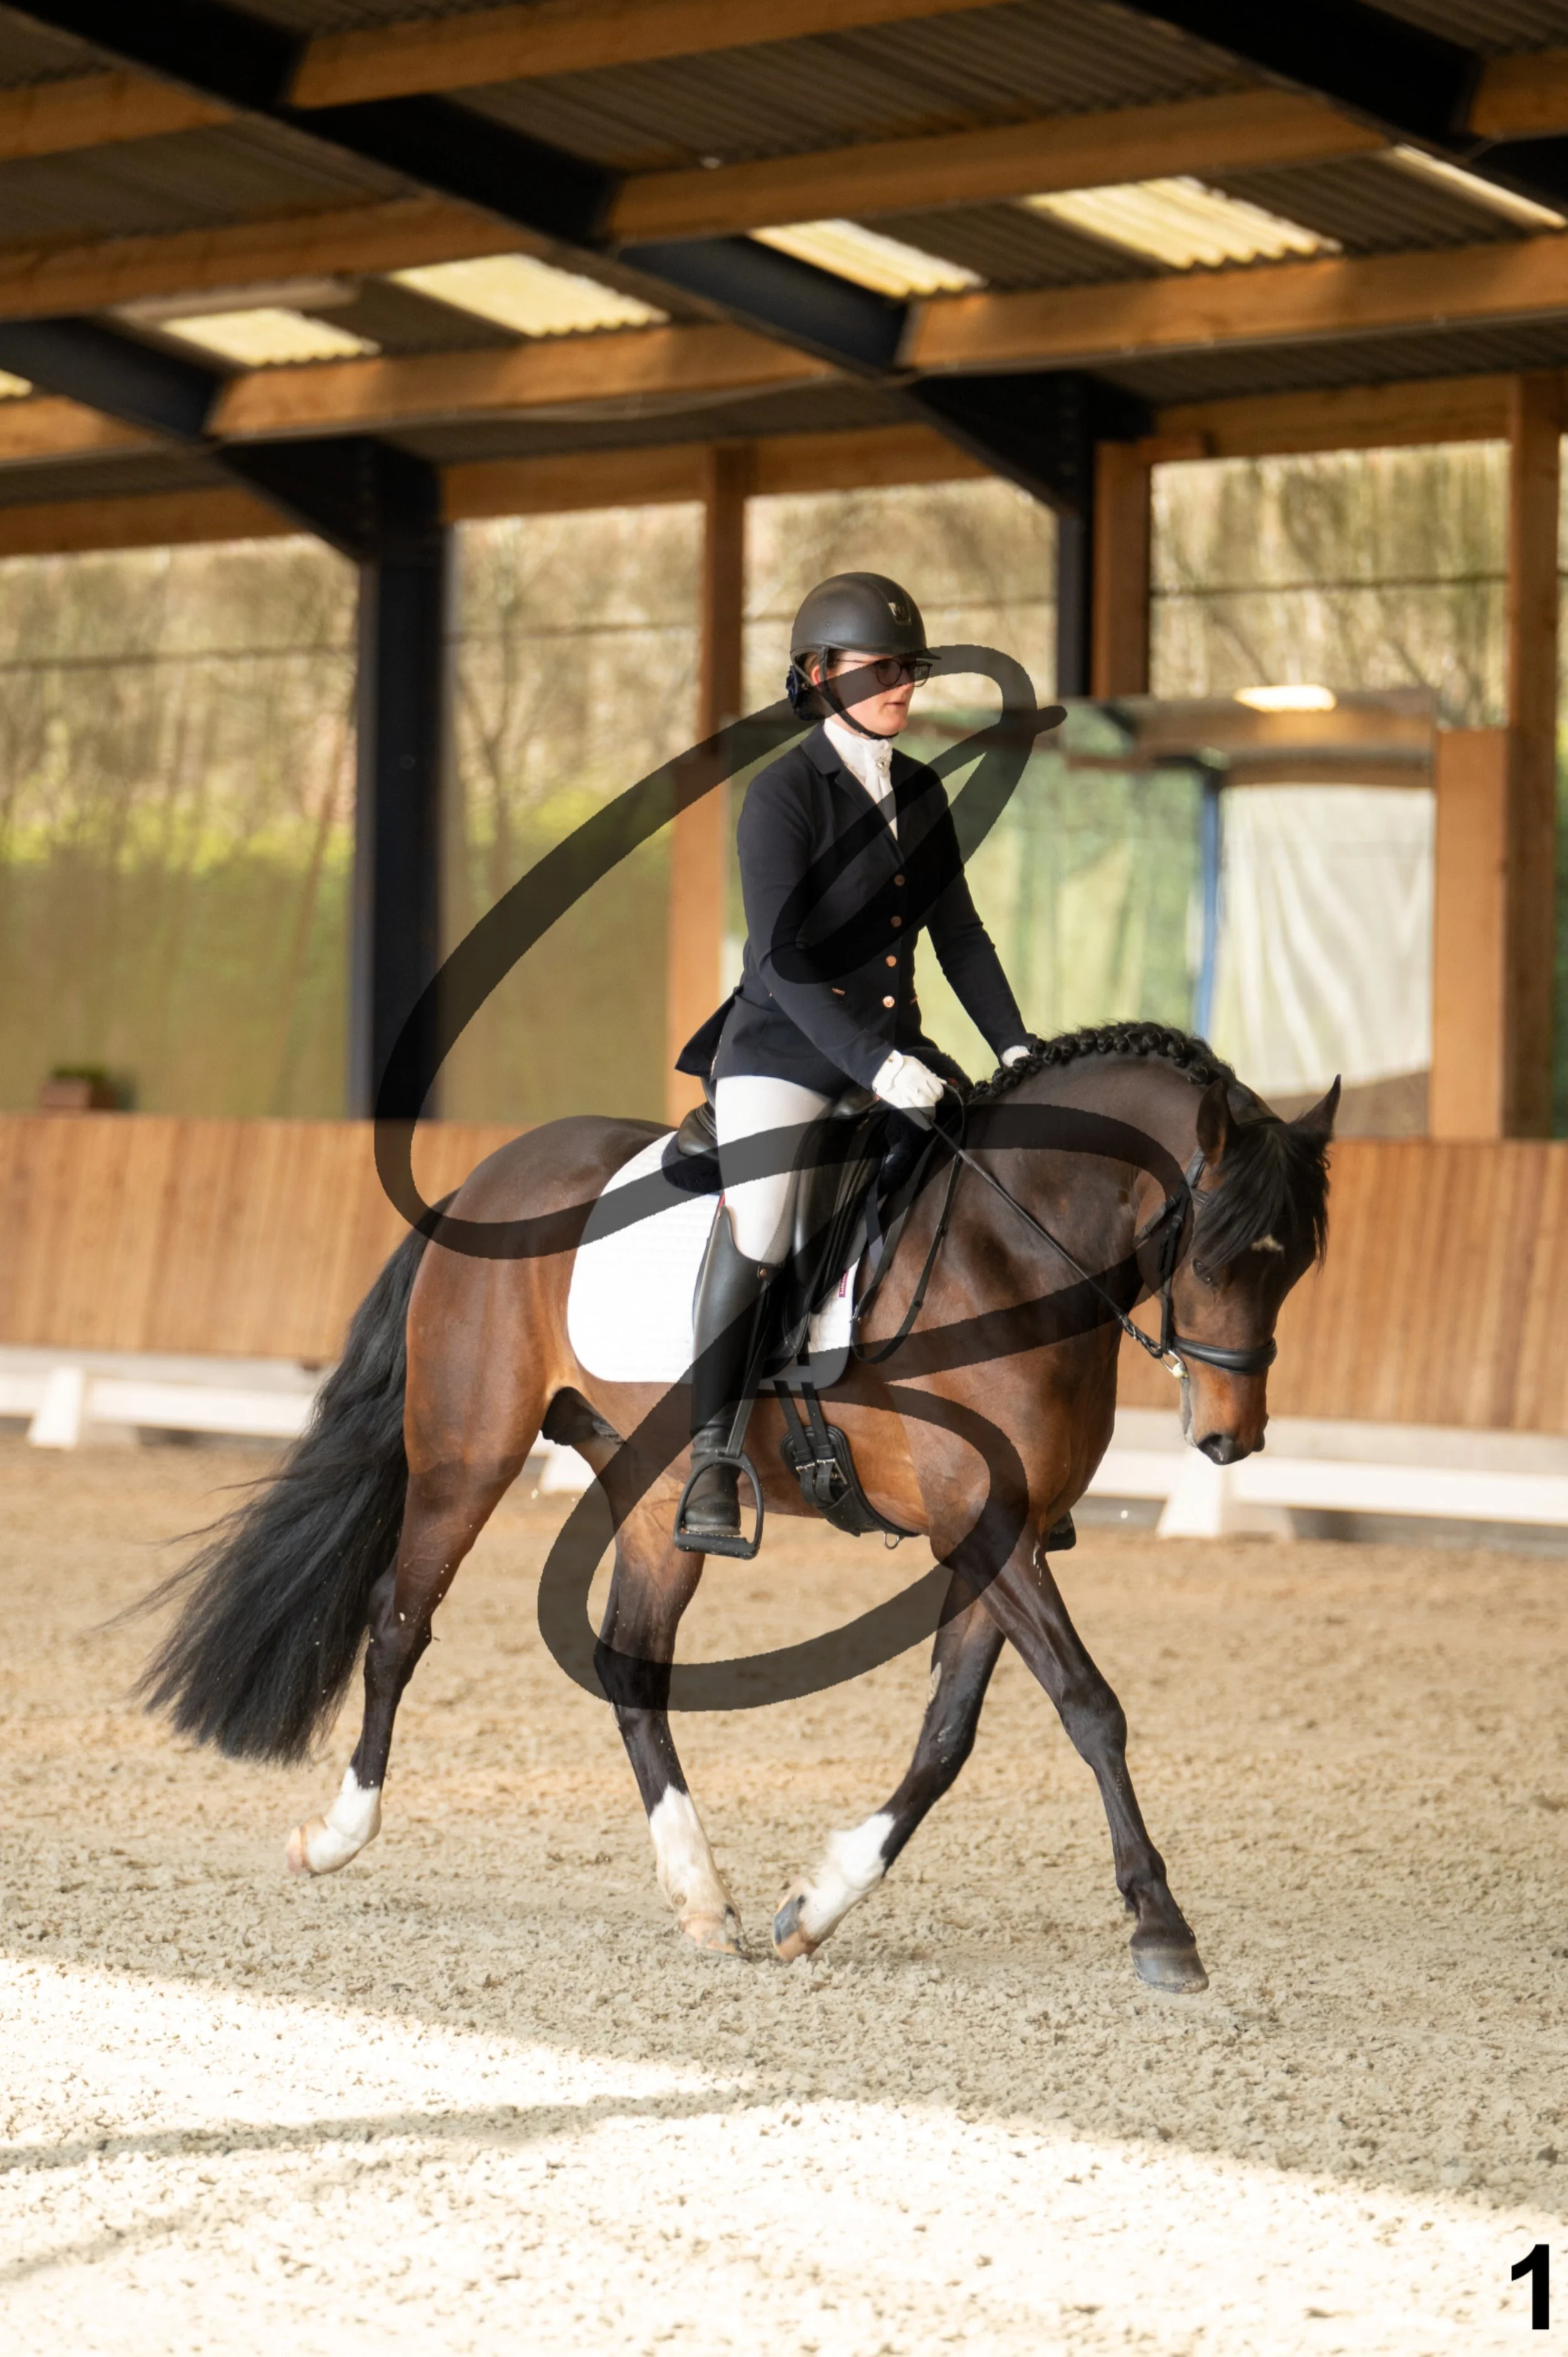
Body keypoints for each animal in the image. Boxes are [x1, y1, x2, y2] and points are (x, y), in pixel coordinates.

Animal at [140, 1021, 1335, 1996]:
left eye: (1296, 1267)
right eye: (1213, 1254)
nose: (1231, 1440)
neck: (1015, 1248)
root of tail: (488, 1176)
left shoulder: (1009, 1528)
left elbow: (948, 1733)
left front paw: (818, 1902)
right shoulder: (984, 1525)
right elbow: (1091, 1705)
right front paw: (1162, 1925)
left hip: (657, 1491)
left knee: (628, 1663)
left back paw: (702, 1896)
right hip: (464, 1454)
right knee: (399, 1623)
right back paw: (339, 1834)